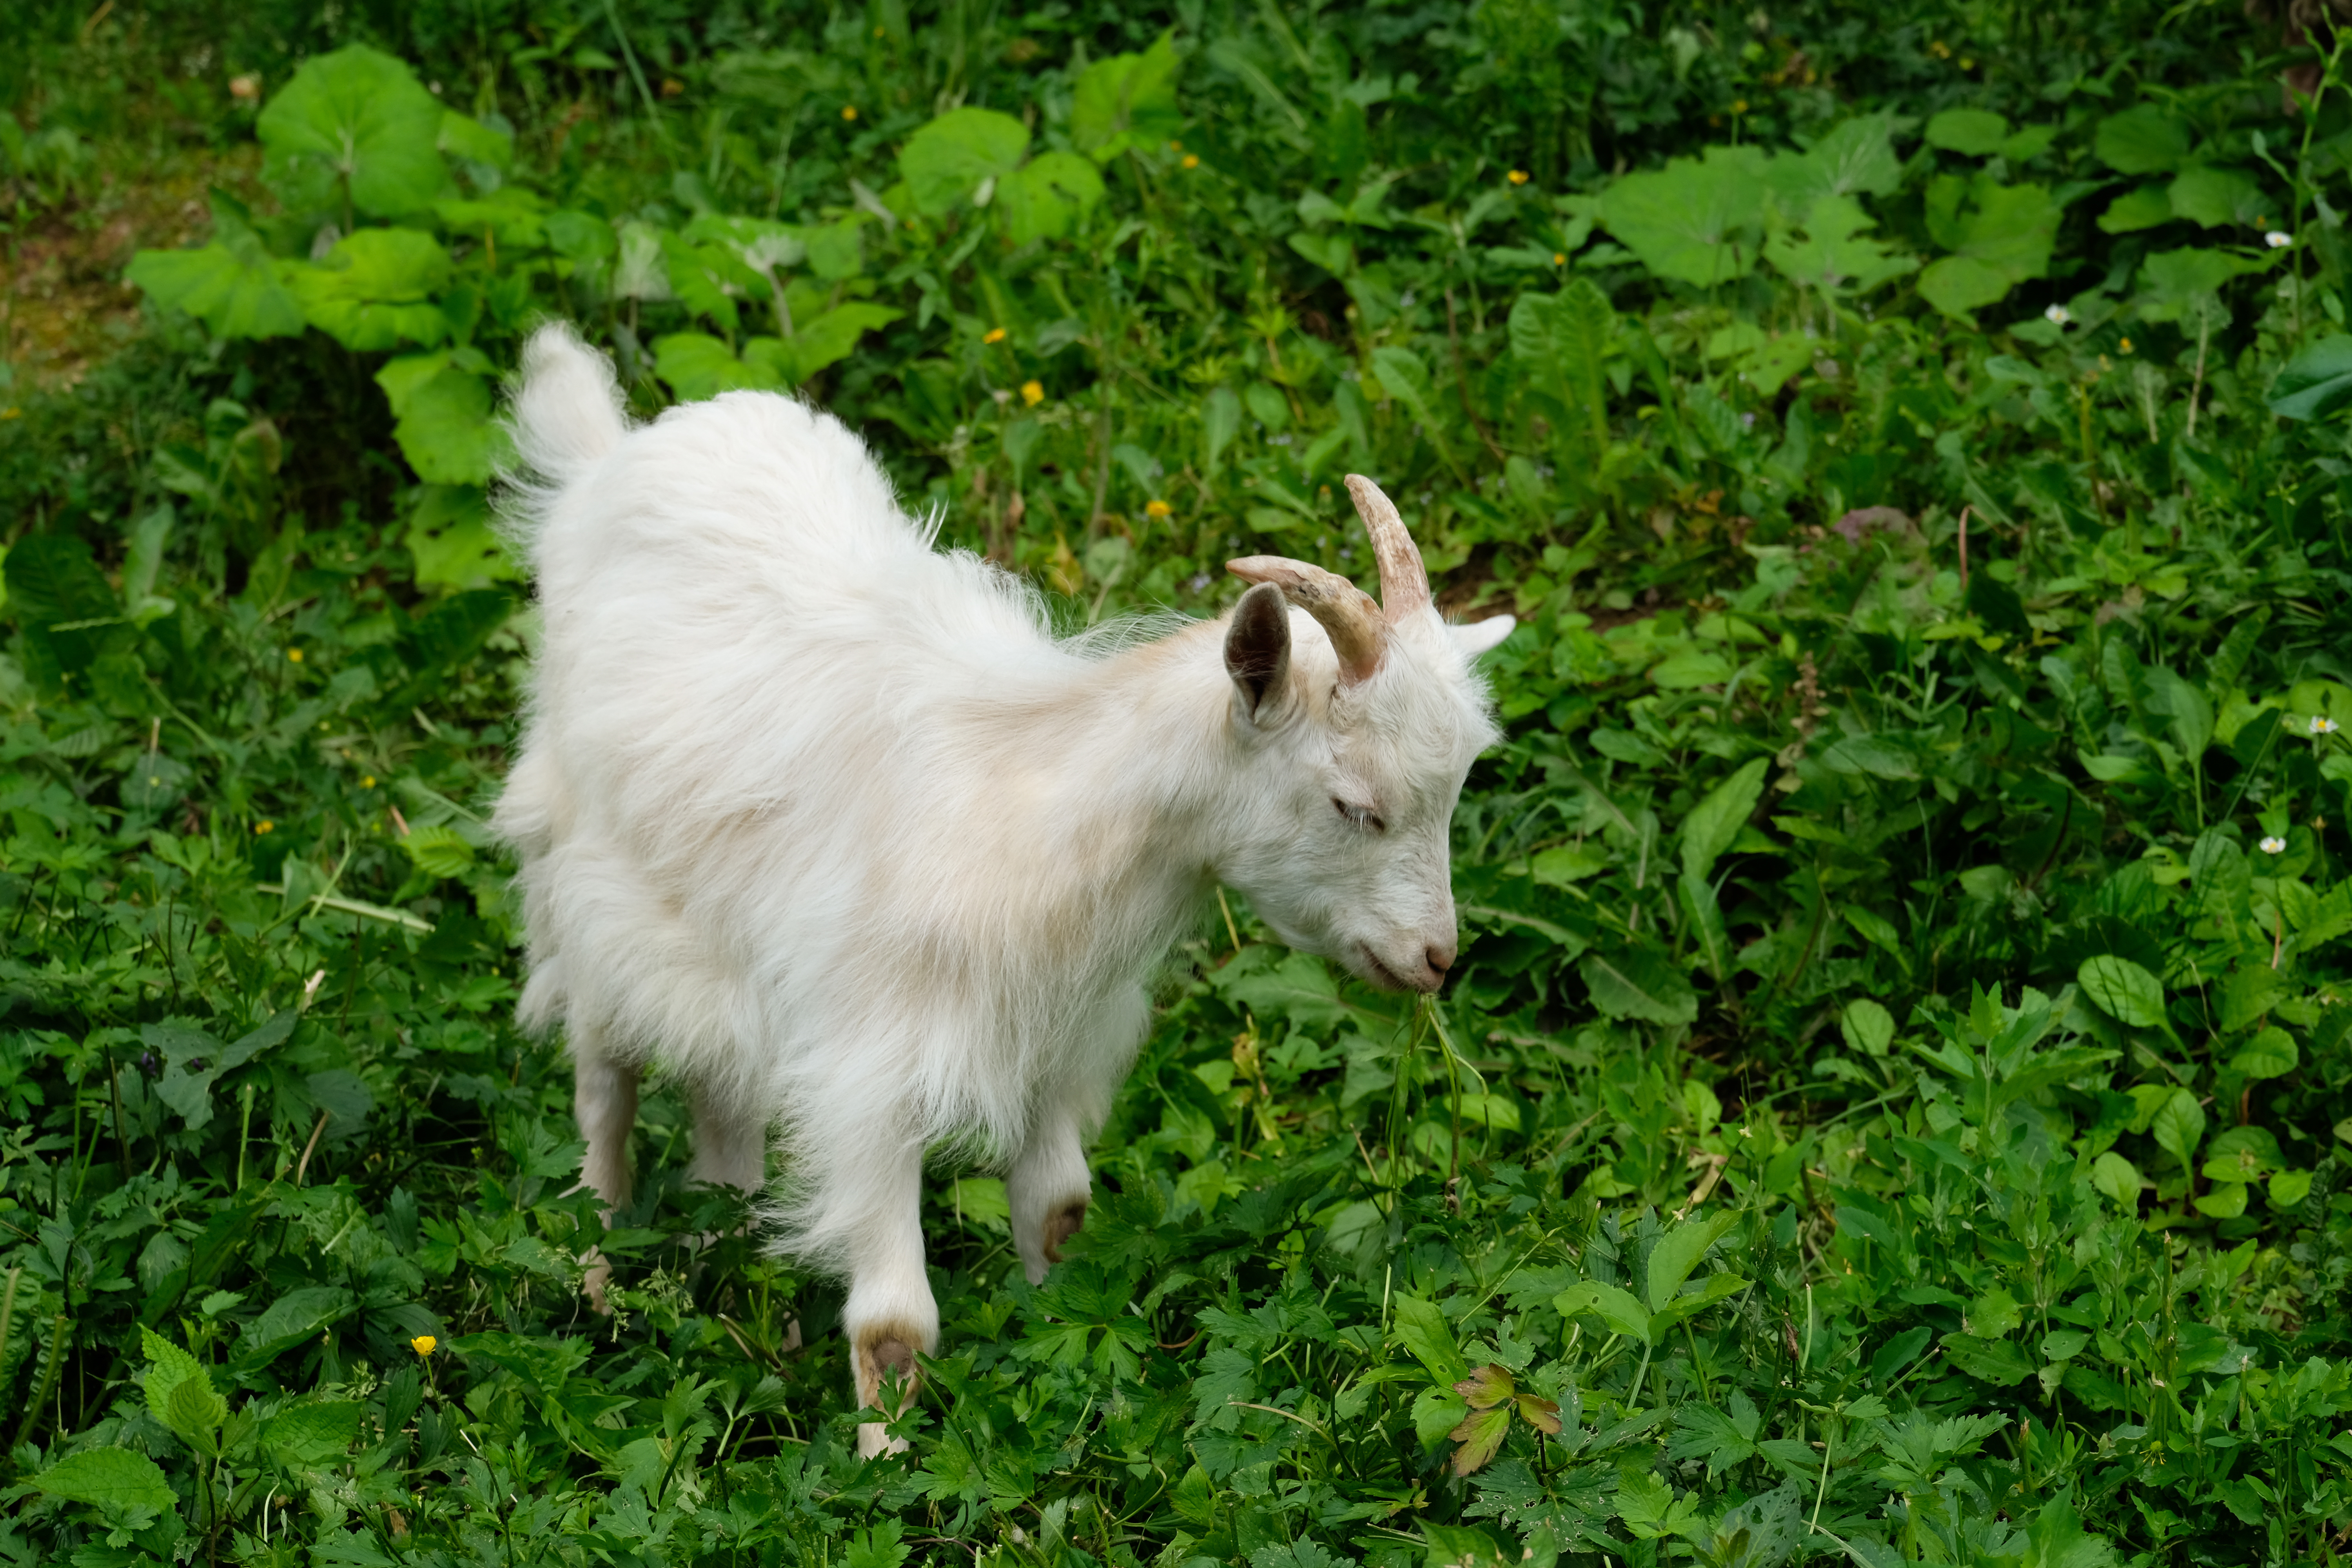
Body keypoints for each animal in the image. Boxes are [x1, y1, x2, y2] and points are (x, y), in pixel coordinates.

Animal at [492, 323, 1514, 1455]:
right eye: (1353, 804)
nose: (1435, 958)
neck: (1031, 807)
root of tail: (608, 457)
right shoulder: (868, 1074)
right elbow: (894, 1321)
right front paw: (885, 1466)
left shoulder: (1053, 1041)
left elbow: (1059, 1214)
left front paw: (1061, 1373)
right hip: (584, 890)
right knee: (603, 1092)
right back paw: (596, 1283)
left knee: (722, 1110)